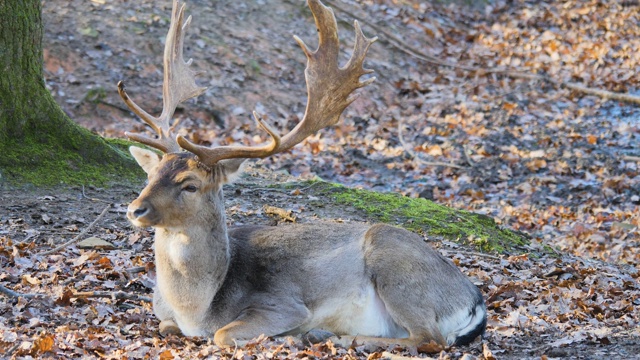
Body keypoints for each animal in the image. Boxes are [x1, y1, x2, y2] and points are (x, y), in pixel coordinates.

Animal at [117, 0, 488, 350]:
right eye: (150, 175)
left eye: (190, 185)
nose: (134, 209)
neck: (197, 308)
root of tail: (474, 300)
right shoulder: (163, 313)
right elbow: (165, 327)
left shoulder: (283, 305)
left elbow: (223, 333)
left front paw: (286, 337)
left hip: (396, 268)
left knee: (429, 338)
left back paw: (330, 336)